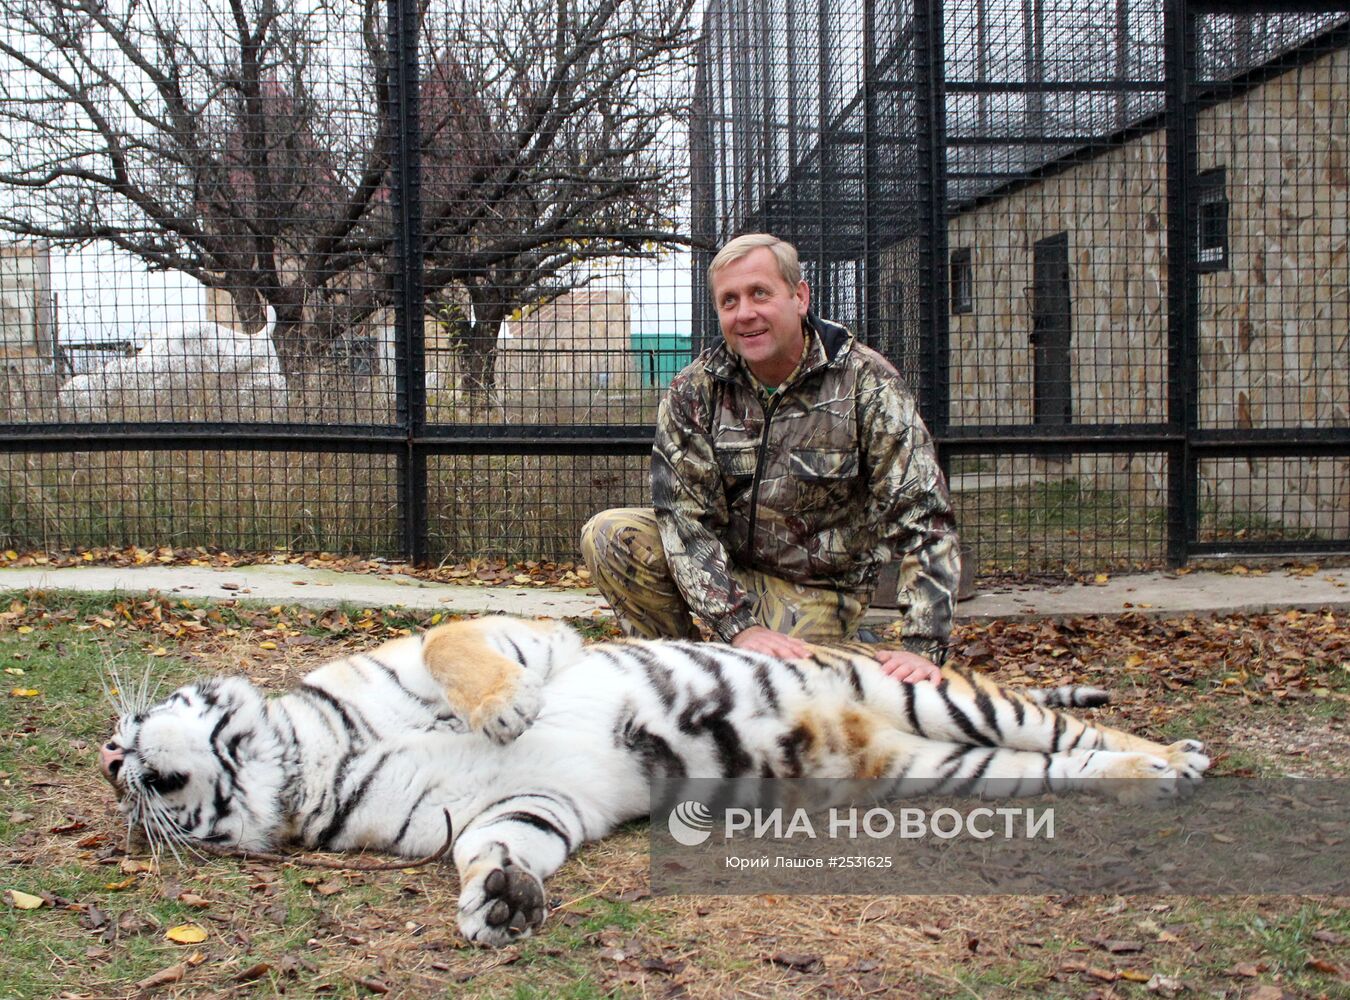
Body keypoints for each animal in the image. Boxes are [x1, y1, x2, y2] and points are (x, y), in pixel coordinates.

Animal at [99, 615, 1209, 944]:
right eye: (115, 764)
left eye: (127, 724)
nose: (113, 761)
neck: (300, 765)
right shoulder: (518, 807)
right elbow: (497, 845)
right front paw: (497, 900)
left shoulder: (510, 633)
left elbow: (460, 646)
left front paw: (504, 710)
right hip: (944, 771)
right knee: (1053, 765)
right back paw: (1147, 781)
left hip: (946, 705)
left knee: (1062, 724)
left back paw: (1179, 759)